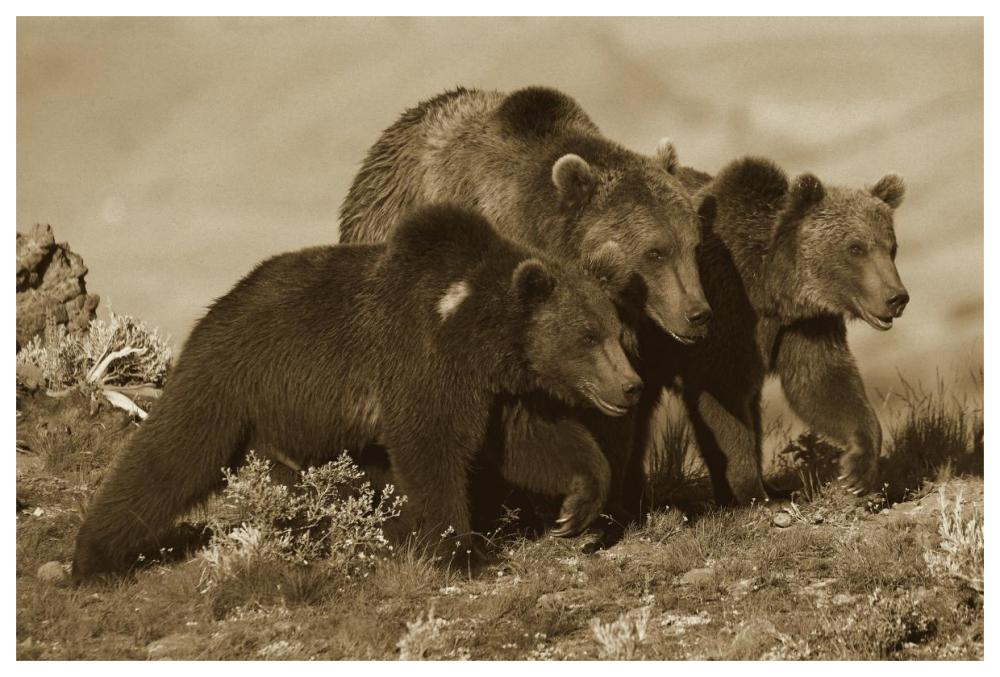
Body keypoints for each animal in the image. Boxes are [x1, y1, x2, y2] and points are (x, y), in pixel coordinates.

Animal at [71, 204, 642, 579]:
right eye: (587, 335)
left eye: (617, 331)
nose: (630, 386)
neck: (477, 332)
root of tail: (217, 306)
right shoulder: (422, 361)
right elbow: (431, 448)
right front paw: (461, 552)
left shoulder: (499, 389)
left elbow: (533, 443)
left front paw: (577, 507)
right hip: (235, 382)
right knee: (174, 453)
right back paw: (92, 556)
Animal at [625, 155, 909, 508]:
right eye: (855, 248)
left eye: (891, 247)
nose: (896, 298)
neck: (771, 288)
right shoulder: (722, 312)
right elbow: (722, 403)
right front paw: (750, 493)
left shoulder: (805, 325)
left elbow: (821, 383)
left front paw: (857, 468)